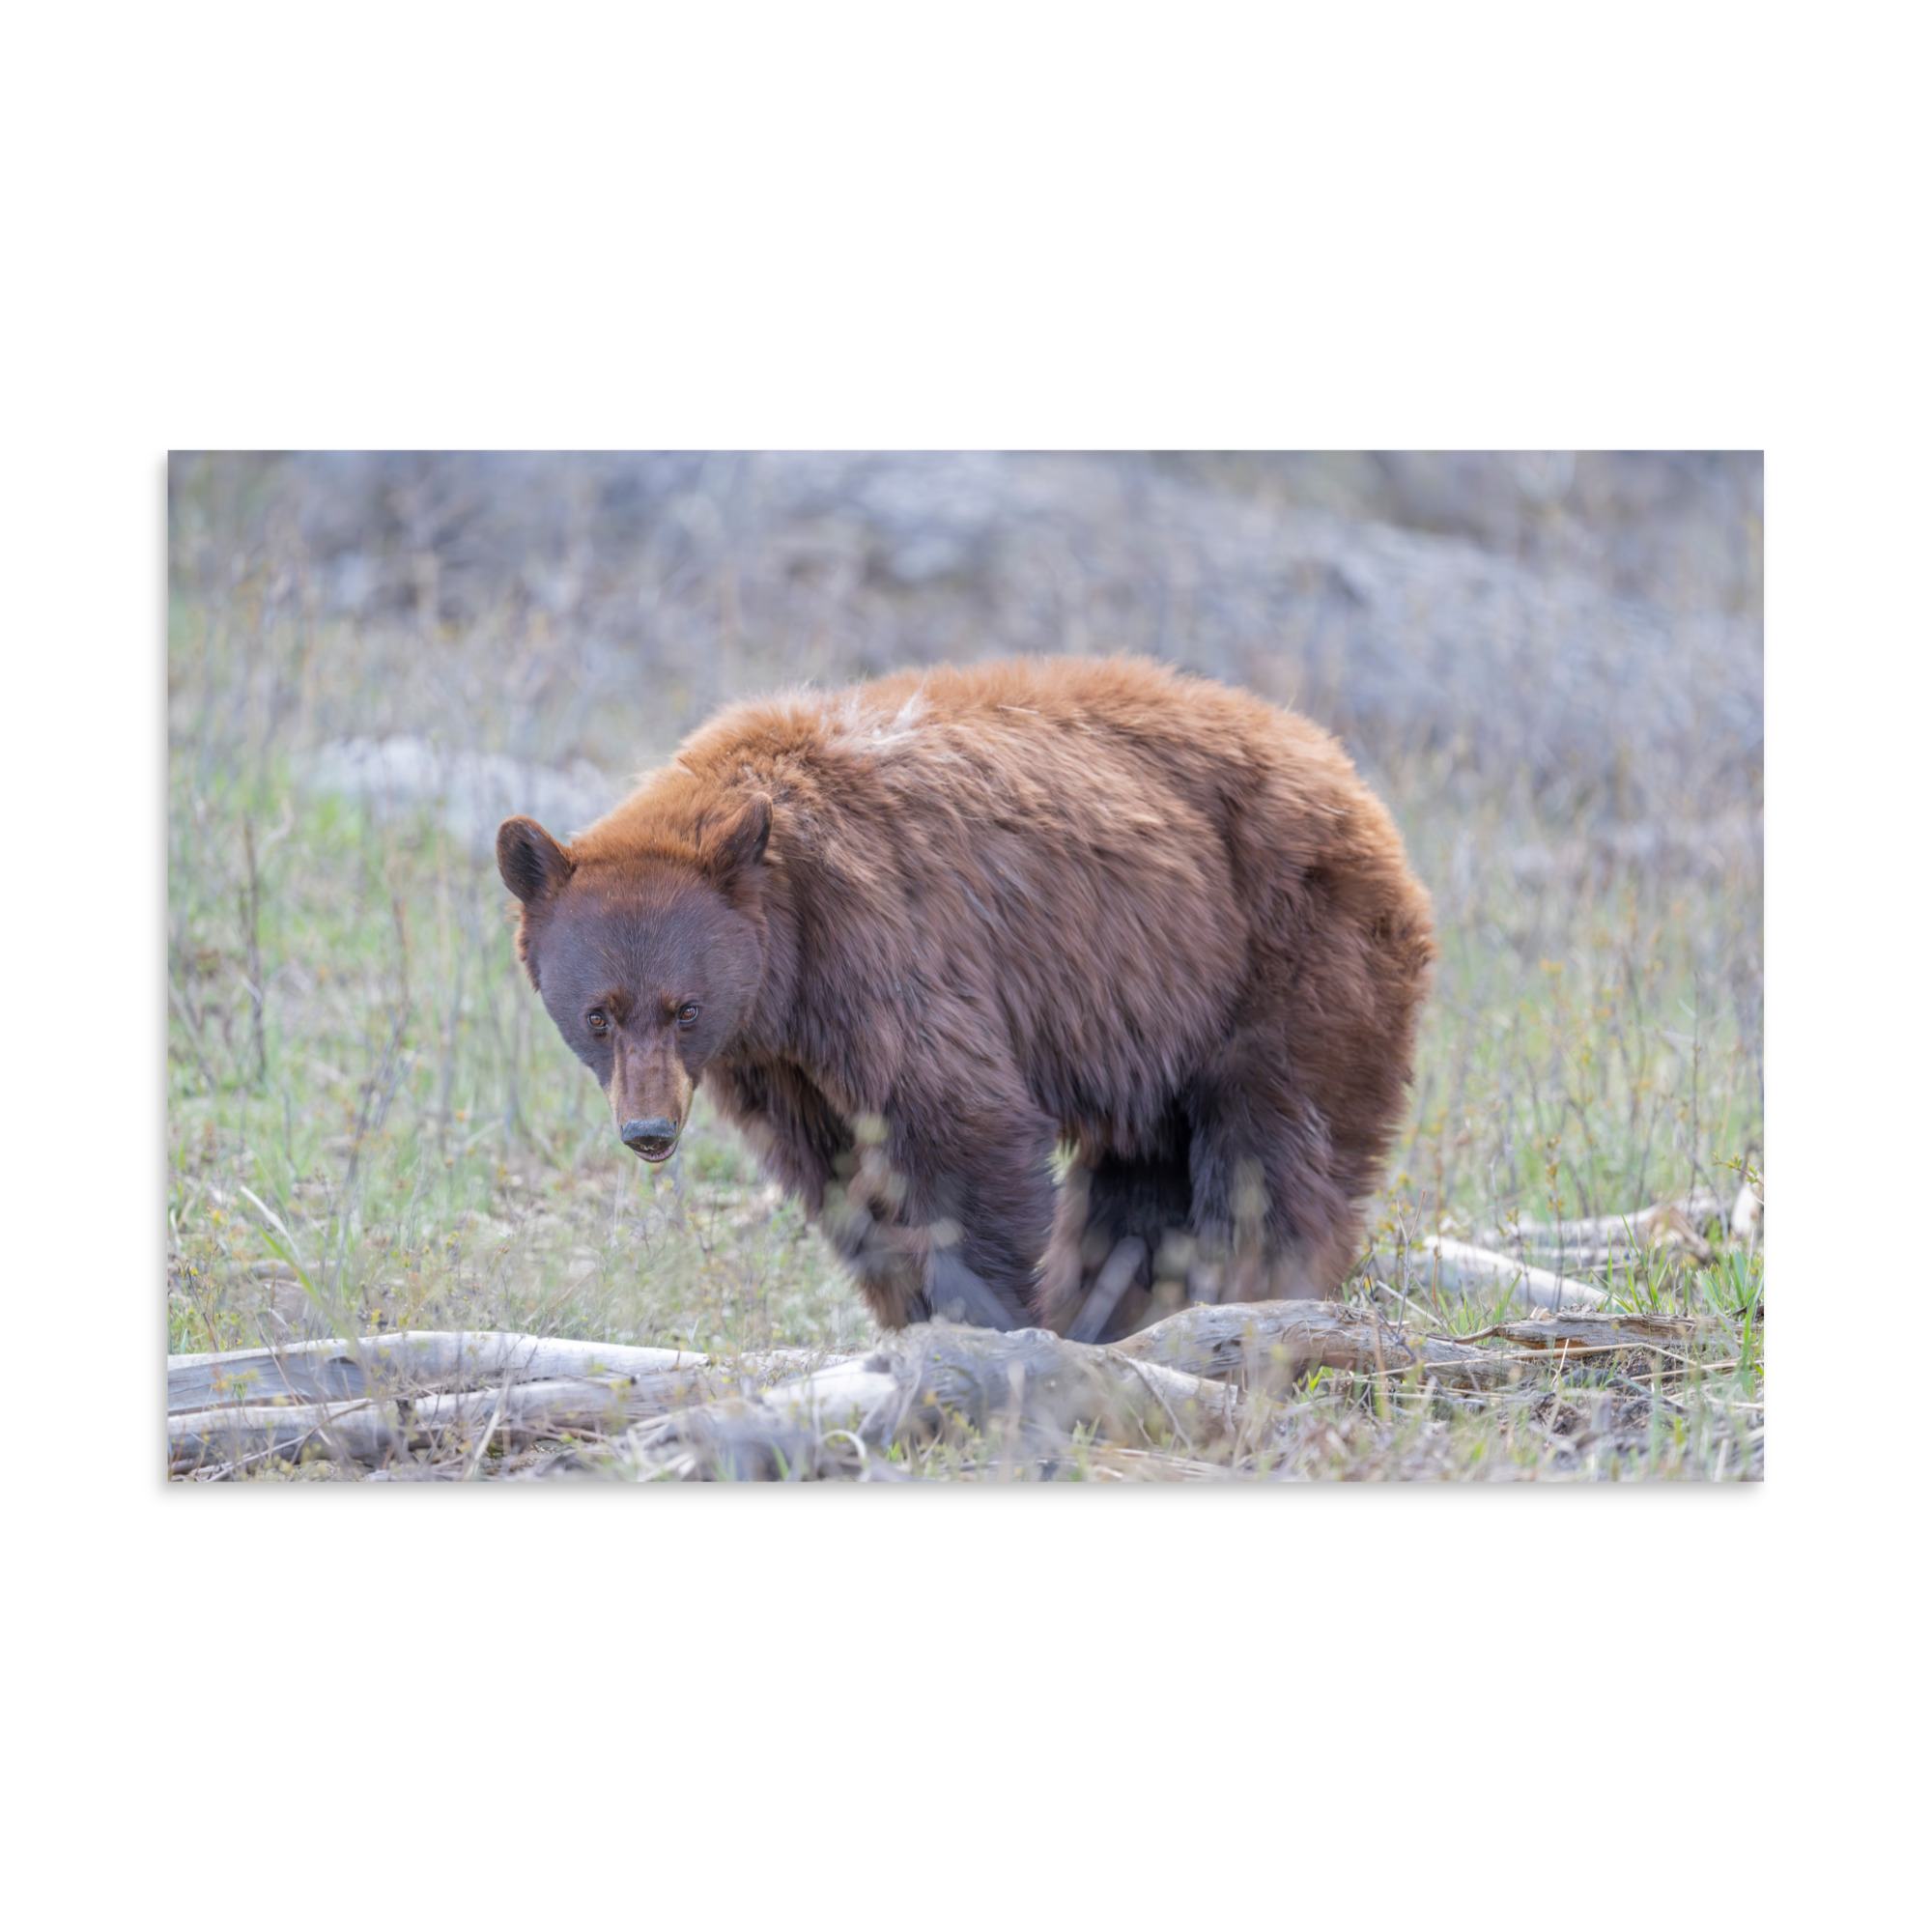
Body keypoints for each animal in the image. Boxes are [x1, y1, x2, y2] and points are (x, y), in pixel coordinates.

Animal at [496, 656, 1434, 1342]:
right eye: (599, 1015)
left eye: (684, 1008)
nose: (649, 1131)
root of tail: (1346, 772)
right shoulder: (779, 1060)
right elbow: (840, 1175)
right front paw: (912, 1314)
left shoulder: (885, 948)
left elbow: (960, 1128)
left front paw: (987, 1320)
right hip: (1161, 1016)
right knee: (1141, 1178)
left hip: (1286, 953)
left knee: (1273, 1148)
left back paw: (1250, 1293)